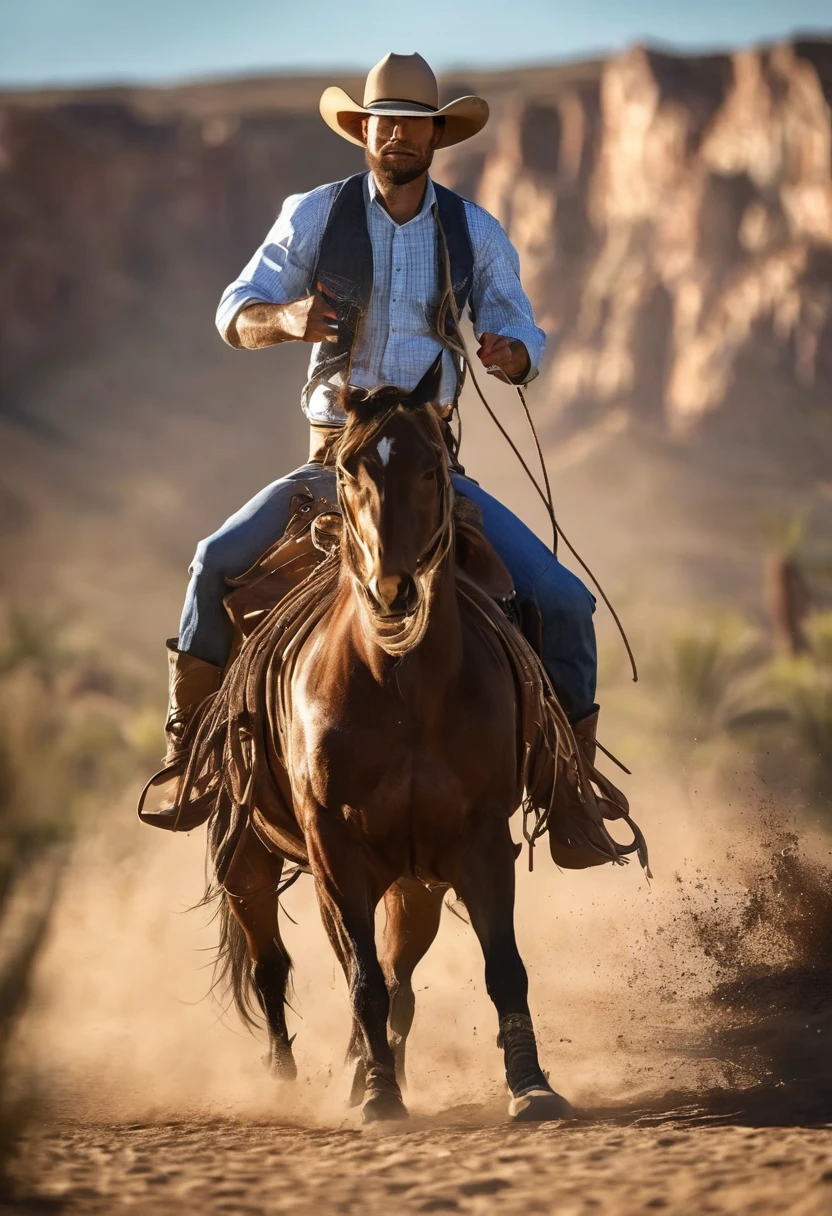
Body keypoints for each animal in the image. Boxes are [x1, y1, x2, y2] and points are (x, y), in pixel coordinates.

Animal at [199, 364, 583, 1123]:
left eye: (433, 467)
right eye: (350, 468)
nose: (394, 588)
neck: (401, 687)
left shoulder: (477, 838)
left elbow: (501, 967)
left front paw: (531, 1086)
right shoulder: (334, 847)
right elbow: (361, 979)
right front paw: (378, 1097)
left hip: (415, 877)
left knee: (397, 968)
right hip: (248, 850)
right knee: (271, 963)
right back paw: (289, 1080)